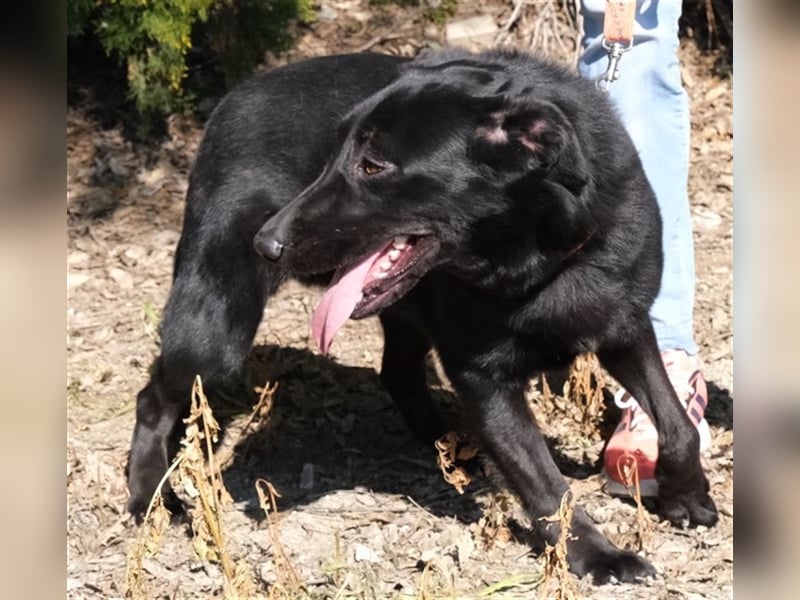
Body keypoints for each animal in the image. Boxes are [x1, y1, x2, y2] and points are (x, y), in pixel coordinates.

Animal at [127, 49, 718, 584]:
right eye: (332, 157)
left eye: (373, 166)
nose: (266, 243)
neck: (545, 259)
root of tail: (229, 100)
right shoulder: (483, 378)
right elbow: (547, 484)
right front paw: (598, 556)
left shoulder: (624, 326)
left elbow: (676, 421)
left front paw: (686, 494)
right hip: (217, 332)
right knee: (154, 397)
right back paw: (149, 498)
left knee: (398, 373)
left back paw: (451, 441)